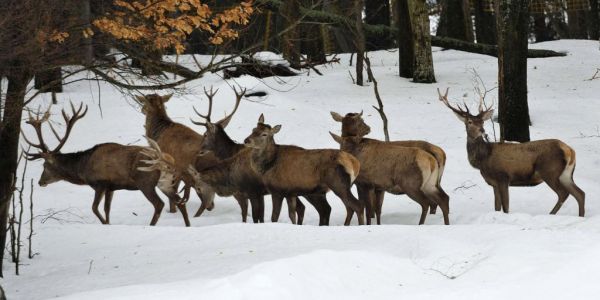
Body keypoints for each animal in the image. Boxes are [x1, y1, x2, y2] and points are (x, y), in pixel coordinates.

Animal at [23, 102, 190, 225]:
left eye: (44, 166)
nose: (40, 182)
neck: (84, 168)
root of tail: (166, 160)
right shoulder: (111, 187)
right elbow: (106, 209)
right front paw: (108, 222)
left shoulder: (100, 183)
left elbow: (95, 208)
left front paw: (104, 223)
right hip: (165, 182)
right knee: (180, 202)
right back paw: (187, 225)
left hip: (145, 181)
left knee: (159, 204)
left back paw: (151, 225)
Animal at [192, 101, 332, 225]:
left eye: (205, 134)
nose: (199, 151)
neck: (231, 153)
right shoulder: (261, 193)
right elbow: (260, 216)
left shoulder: (248, 191)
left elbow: (250, 215)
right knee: (311, 208)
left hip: (309, 191)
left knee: (321, 208)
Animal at [436, 88, 584, 217]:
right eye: (470, 121)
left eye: (482, 121)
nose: (482, 131)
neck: (483, 160)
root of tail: (569, 150)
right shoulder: (494, 183)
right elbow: (496, 207)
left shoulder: (503, 177)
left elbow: (506, 207)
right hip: (566, 174)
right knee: (580, 193)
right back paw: (580, 216)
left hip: (549, 171)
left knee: (564, 193)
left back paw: (551, 214)